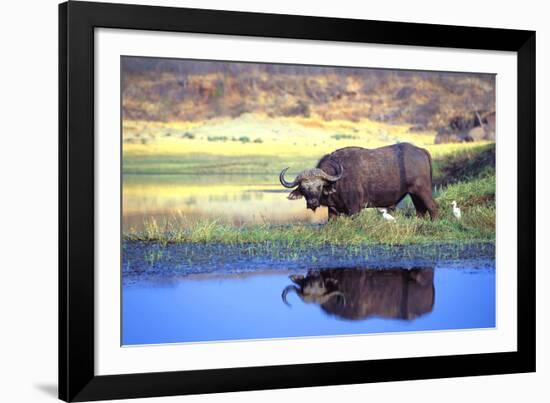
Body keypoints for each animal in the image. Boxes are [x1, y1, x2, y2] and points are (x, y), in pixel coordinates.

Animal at [280, 144, 440, 221]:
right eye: (303, 188)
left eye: (319, 186)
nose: (312, 202)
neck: (337, 182)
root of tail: (421, 150)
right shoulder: (332, 210)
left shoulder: (354, 209)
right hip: (413, 194)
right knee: (420, 210)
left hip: (423, 190)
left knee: (432, 207)